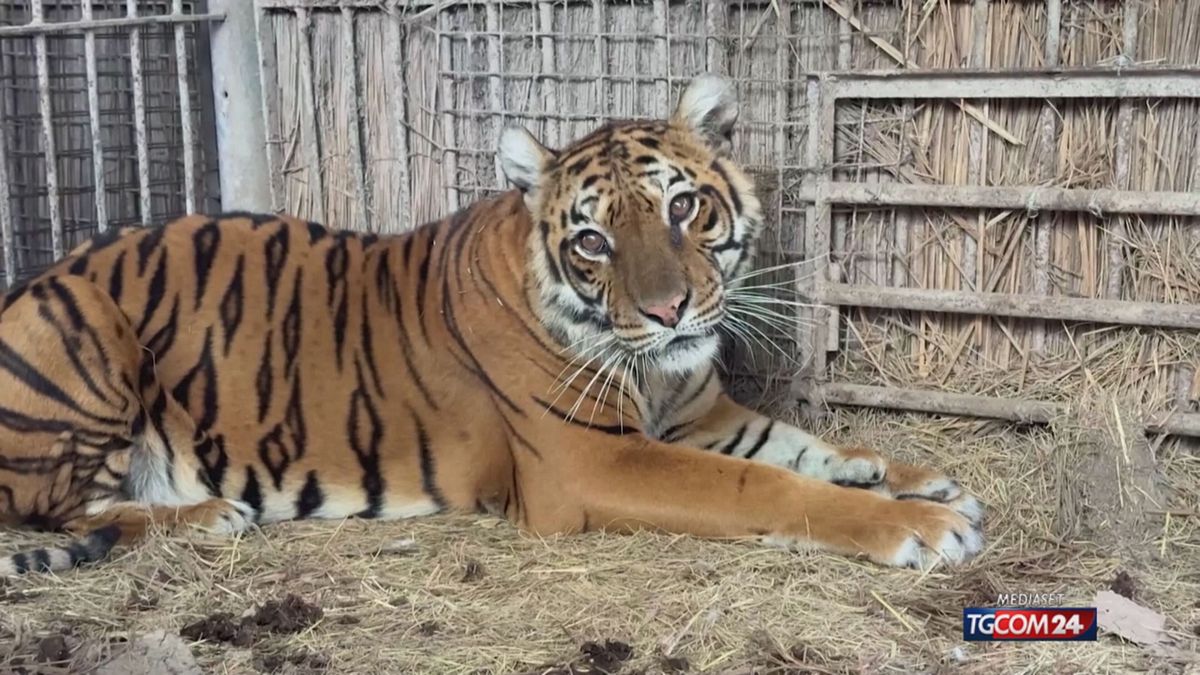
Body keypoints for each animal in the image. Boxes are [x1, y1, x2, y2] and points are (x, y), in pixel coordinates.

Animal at [0, 75, 983, 576]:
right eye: (591, 240)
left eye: (684, 207)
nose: (670, 310)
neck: (660, 373)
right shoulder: (591, 461)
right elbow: (763, 483)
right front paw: (920, 524)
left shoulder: (702, 414)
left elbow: (801, 445)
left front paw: (912, 478)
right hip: (84, 328)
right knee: (66, 507)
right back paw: (212, 513)